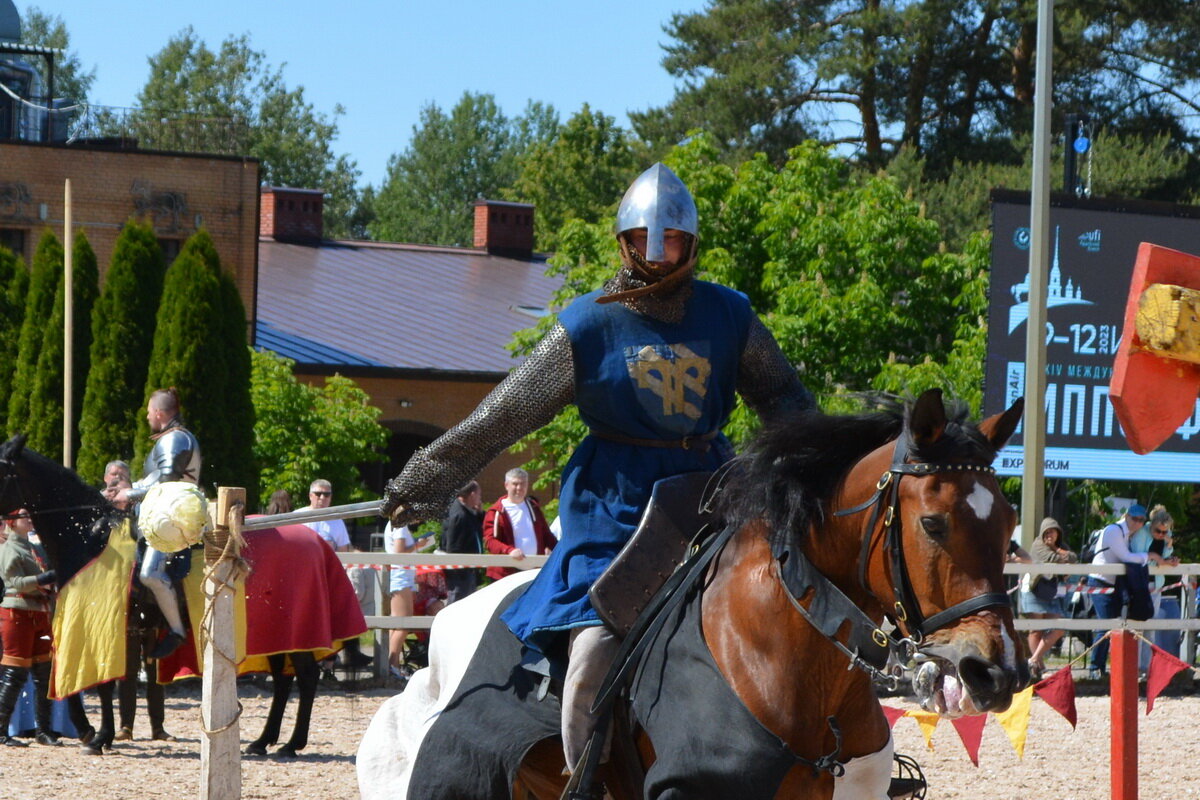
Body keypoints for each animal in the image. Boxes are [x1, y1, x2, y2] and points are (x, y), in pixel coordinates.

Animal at [0, 438, 364, 758]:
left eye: (2, 470)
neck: (90, 536)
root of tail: (316, 541)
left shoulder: (105, 624)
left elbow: (98, 682)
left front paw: (98, 736)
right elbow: (68, 678)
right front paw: (92, 732)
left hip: (293, 632)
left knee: (306, 676)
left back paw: (291, 744)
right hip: (275, 634)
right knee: (283, 679)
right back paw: (263, 742)